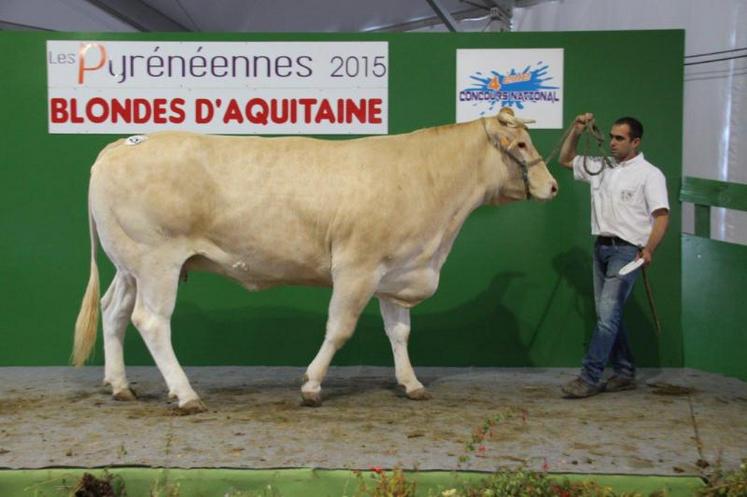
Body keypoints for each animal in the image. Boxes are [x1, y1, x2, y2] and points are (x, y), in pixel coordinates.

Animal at [73, 106, 560, 412]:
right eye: (520, 144)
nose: (553, 186)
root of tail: (124, 145)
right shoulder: (356, 267)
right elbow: (339, 329)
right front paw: (310, 385)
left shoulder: (396, 269)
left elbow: (400, 333)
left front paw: (412, 383)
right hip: (157, 259)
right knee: (151, 321)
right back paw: (185, 394)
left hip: (129, 264)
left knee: (114, 312)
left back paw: (120, 386)